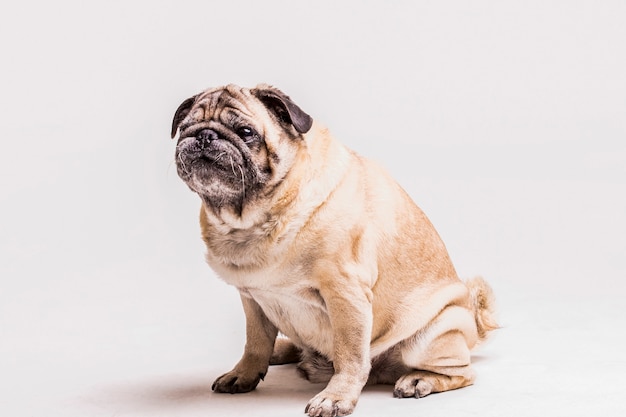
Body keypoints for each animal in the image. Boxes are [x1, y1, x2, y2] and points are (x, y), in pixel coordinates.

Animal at [168, 84, 494, 416]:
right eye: (184, 128)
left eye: (245, 131)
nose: (205, 135)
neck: (254, 219)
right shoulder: (252, 298)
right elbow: (255, 343)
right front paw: (243, 373)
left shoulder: (345, 293)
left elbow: (350, 354)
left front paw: (337, 397)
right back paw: (282, 349)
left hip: (431, 336)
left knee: (463, 373)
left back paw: (419, 380)